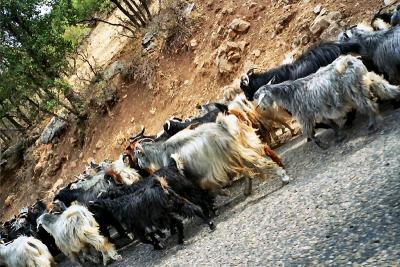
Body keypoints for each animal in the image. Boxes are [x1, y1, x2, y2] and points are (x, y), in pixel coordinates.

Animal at [133, 113, 290, 197]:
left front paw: (224, 193)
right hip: (235, 156)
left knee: (259, 164)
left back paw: (284, 177)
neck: (162, 152)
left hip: (234, 155)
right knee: (248, 171)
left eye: (138, 155)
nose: (139, 166)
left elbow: (209, 188)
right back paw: (247, 190)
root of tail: (223, 127)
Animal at [255, 55, 398, 150]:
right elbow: (331, 123)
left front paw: (322, 145)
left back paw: (372, 125)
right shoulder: (320, 110)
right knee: (383, 87)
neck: (290, 94)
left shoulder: (305, 116)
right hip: (364, 81)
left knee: (369, 105)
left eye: (259, 97)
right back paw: (396, 95)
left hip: (354, 91)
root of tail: (352, 60)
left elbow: (310, 132)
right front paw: (338, 135)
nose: (259, 108)